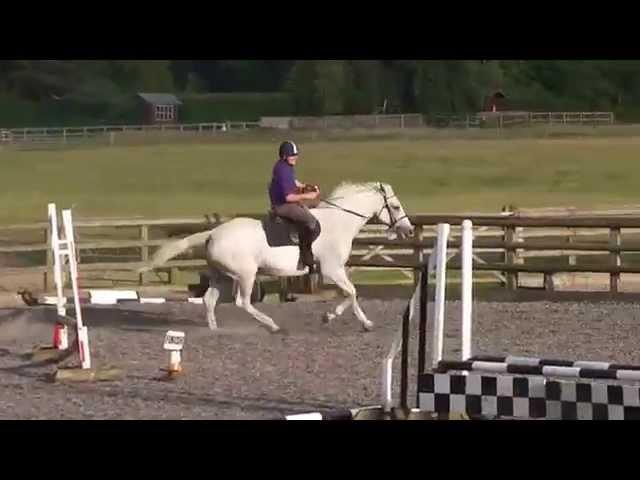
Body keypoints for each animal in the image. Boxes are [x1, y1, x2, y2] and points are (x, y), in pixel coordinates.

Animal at [141, 182, 416, 332]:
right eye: (395, 207)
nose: (409, 229)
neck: (339, 222)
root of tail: (213, 233)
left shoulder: (335, 270)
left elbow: (351, 295)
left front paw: (360, 322)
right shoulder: (332, 270)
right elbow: (352, 293)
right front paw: (335, 318)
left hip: (222, 276)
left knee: (209, 300)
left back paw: (215, 330)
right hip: (246, 275)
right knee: (243, 302)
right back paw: (272, 325)